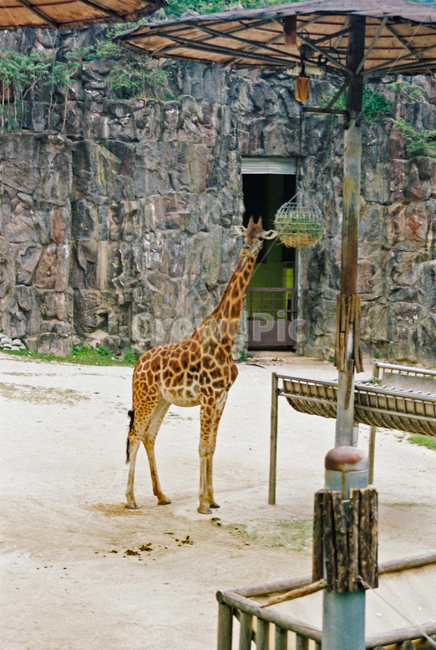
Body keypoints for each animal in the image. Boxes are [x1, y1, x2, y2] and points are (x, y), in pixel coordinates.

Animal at [125, 217, 277, 514]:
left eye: (261, 237)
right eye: (245, 233)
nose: (246, 249)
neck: (225, 340)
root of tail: (137, 365)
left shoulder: (221, 398)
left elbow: (212, 446)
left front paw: (213, 499)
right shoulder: (208, 397)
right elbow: (202, 446)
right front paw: (203, 504)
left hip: (162, 400)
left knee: (149, 436)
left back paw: (162, 495)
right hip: (145, 397)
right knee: (135, 436)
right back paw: (130, 499)